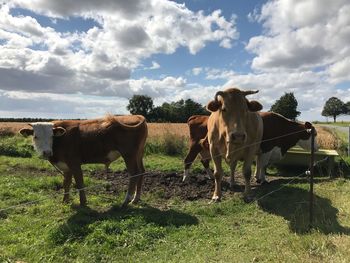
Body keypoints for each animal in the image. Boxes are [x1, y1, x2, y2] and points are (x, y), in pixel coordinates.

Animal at [19, 115, 148, 208]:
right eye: (35, 136)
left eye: (52, 136)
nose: (46, 152)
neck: (60, 139)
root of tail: (136, 116)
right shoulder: (66, 166)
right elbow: (66, 183)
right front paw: (65, 201)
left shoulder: (74, 163)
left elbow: (79, 183)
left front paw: (83, 202)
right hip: (138, 154)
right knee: (141, 171)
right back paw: (136, 199)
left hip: (129, 154)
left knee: (134, 173)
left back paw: (126, 201)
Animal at [182, 112, 318, 185]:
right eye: (314, 134)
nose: (317, 148)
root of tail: (197, 116)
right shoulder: (268, 148)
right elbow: (263, 165)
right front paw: (263, 180)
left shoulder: (260, 151)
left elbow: (258, 164)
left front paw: (257, 177)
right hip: (195, 146)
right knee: (188, 160)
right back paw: (185, 179)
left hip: (206, 150)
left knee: (204, 161)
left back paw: (210, 176)